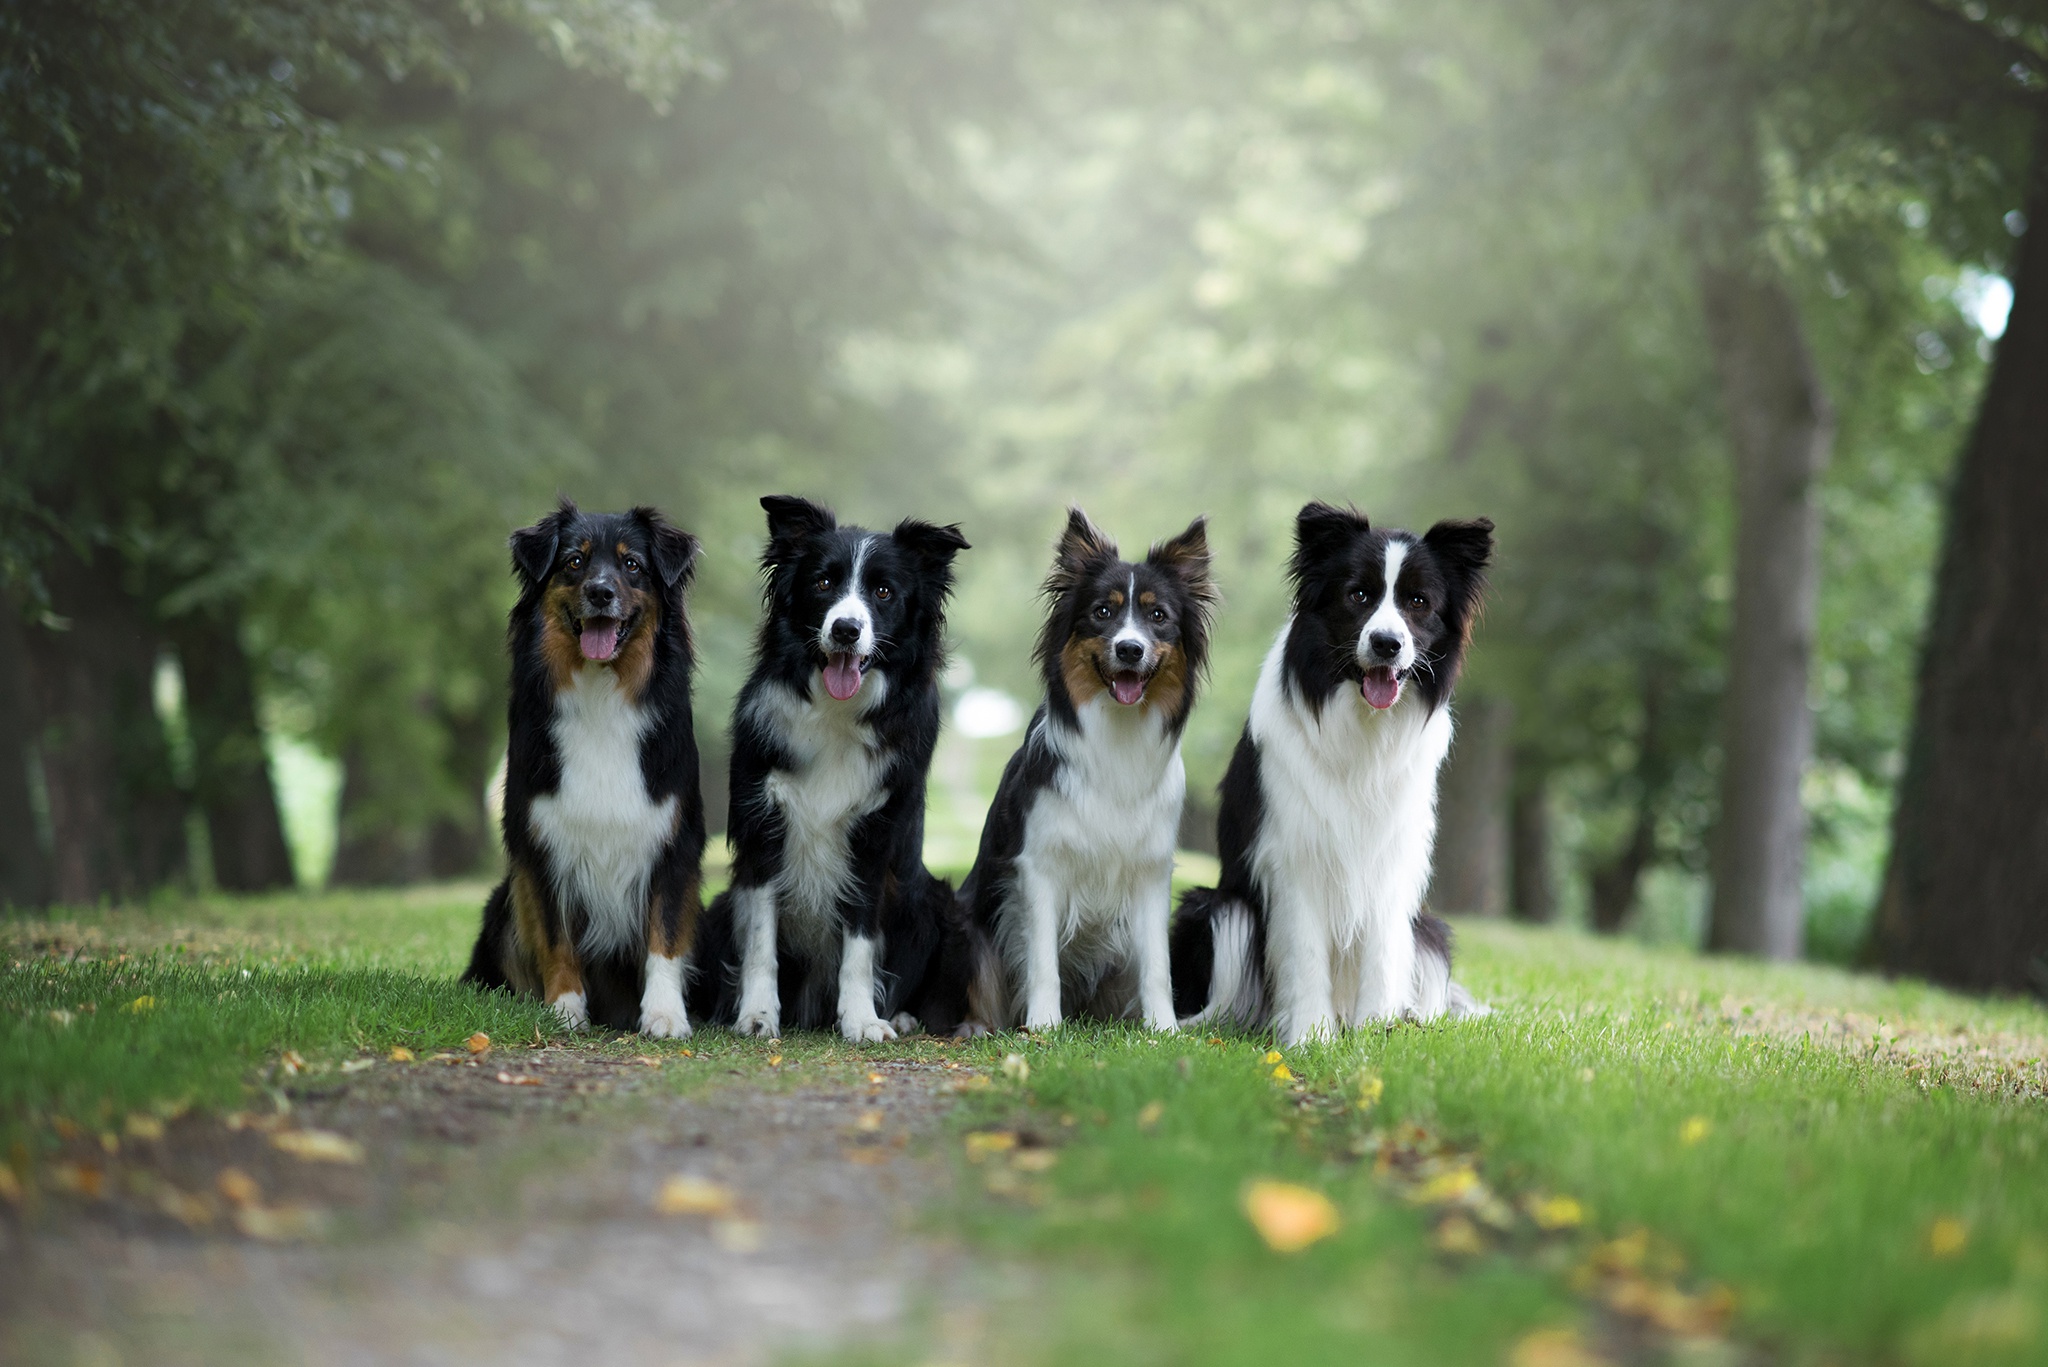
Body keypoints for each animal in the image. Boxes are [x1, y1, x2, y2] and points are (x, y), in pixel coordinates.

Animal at [466, 502, 712, 1037]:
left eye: (632, 565)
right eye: (574, 562)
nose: (600, 592)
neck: (602, 691)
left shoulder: (675, 843)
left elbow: (665, 938)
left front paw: (664, 1014)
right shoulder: (541, 845)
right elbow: (555, 938)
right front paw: (564, 1008)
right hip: (503, 905)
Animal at [692, 498, 970, 1041]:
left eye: (883, 591)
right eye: (822, 582)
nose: (846, 629)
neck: (835, 713)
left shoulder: (873, 837)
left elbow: (860, 943)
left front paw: (862, 1018)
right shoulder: (763, 832)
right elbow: (760, 941)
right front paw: (757, 1013)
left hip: (934, 902)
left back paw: (899, 1015)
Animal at [958, 512, 1212, 1037]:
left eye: (1159, 617)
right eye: (1102, 612)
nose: (1130, 649)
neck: (1117, 731)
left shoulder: (1151, 872)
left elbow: (1158, 965)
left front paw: (1163, 1028)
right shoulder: (1039, 867)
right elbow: (1042, 962)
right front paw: (1044, 1026)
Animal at [1179, 502, 1499, 1049]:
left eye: (1418, 602)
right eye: (1359, 595)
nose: (1387, 644)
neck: (1362, 727)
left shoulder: (1390, 863)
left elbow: (1382, 956)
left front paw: (1375, 1033)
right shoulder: (1294, 856)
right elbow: (1304, 954)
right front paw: (1311, 1038)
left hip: (1430, 932)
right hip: (1218, 909)